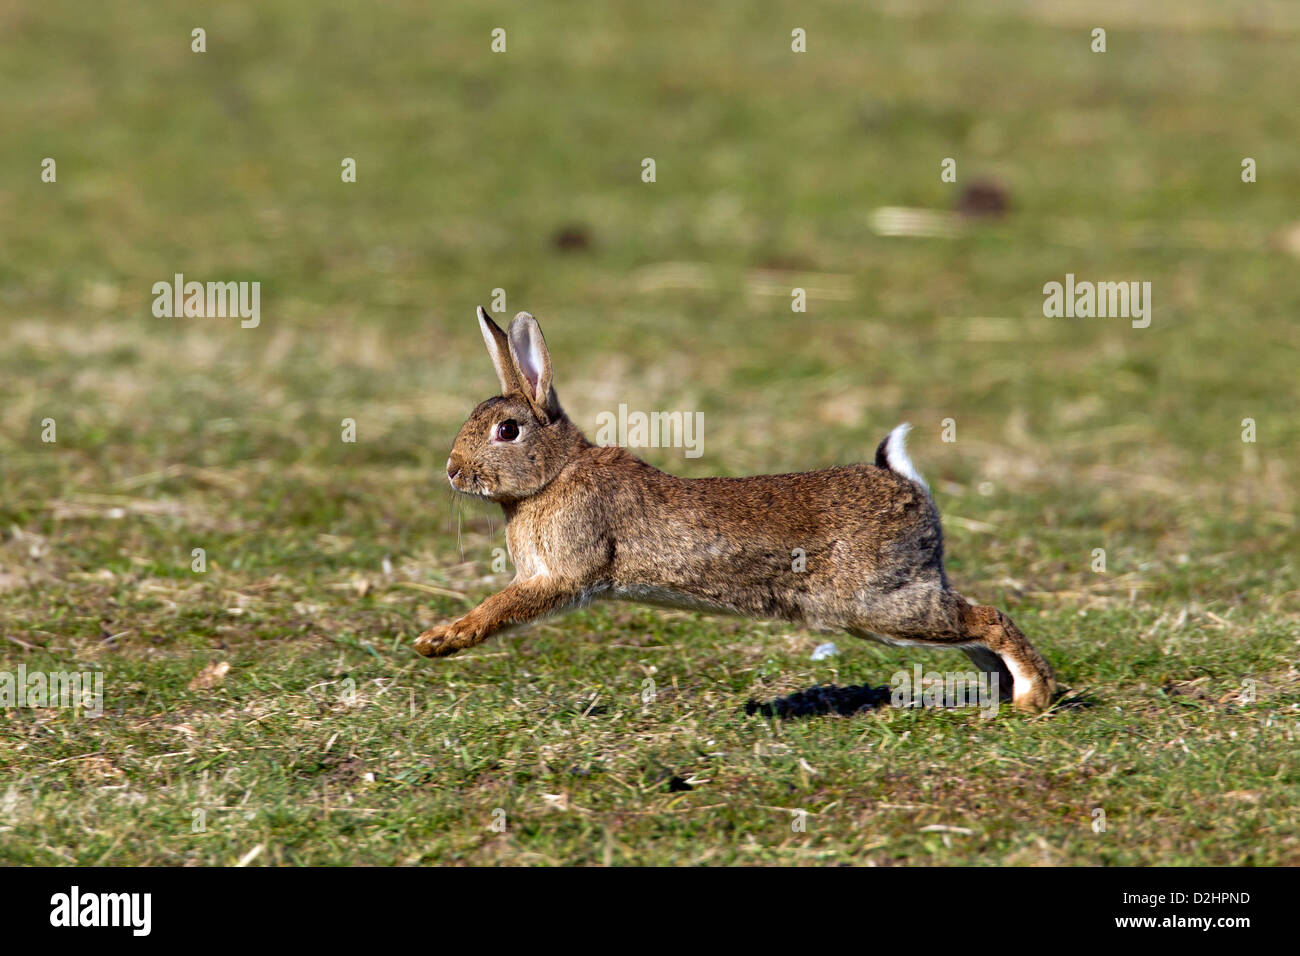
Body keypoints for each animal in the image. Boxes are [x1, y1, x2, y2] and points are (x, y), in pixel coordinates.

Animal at [415, 307, 1057, 713]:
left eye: (506, 430)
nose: (451, 470)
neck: (554, 474)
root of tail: (903, 483)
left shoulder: (561, 575)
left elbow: (497, 609)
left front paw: (437, 641)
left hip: (880, 602)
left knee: (990, 619)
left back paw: (1033, 699)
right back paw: (998, 696)